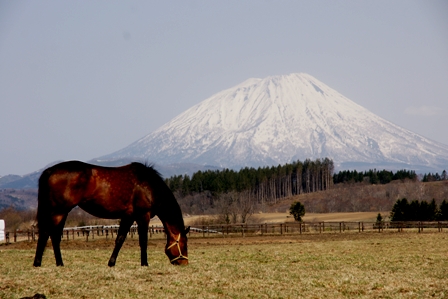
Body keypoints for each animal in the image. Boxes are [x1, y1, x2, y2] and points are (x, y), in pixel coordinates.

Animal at [32, 162, 189, 268]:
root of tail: (50, 171)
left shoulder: (128, 217)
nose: (184, 262)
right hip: (58, 211)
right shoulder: (143, 216)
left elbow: (120, 239)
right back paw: (39, 263)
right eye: (184, 243)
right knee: (47, 233)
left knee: (53, 235)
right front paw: (144, 263)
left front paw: (111, 263)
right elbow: (143, 241)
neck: (149, 185)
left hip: (62, 212)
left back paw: (58, 263)